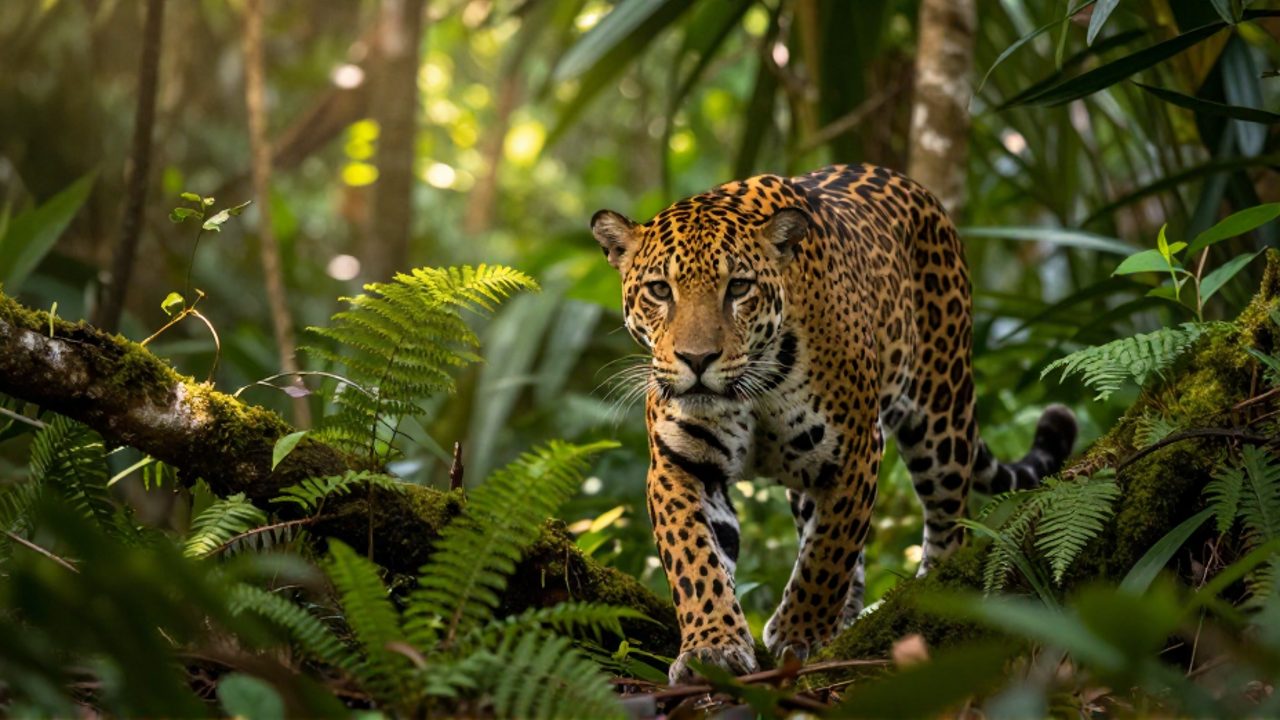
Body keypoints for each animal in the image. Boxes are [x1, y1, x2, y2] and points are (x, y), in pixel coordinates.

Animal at [590, 163, 1077, 684]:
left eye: (738, 287)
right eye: (660, 290)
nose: (697, 359)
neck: (755, 385)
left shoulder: (856, 450)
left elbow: (827, 556)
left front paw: (798, 634)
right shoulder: (678, 464)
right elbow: (695, 559)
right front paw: (713, 645)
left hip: (941, 413)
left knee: (948, 521)